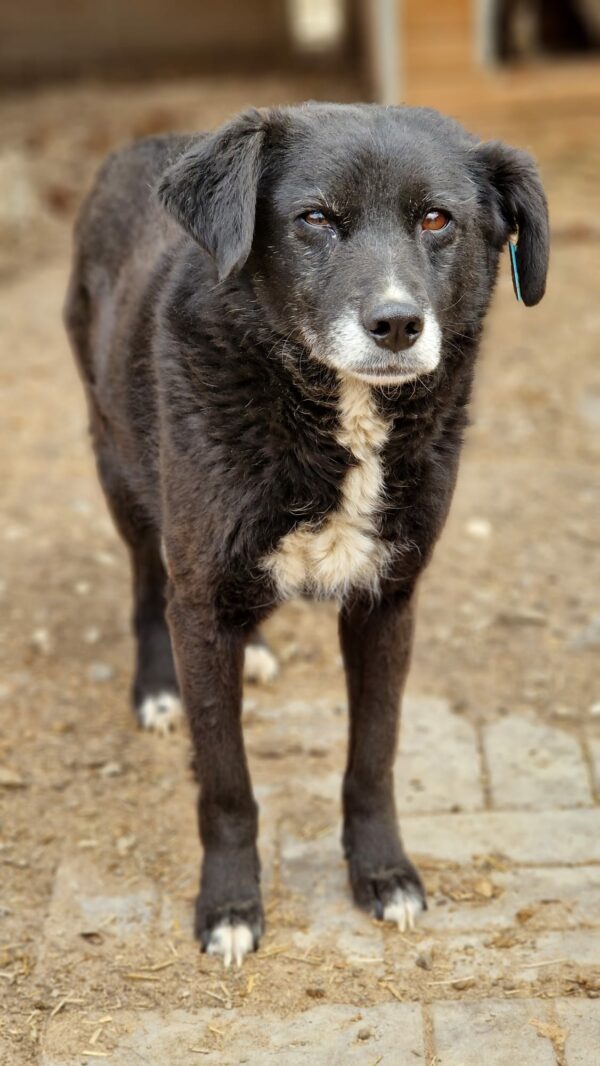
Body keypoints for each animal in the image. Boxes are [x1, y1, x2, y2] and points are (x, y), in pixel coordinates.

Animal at [64, 101, 549, 967]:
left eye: (437, 219)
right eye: (315, 219)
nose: (397, 323)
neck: (327, 411)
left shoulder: (389, 598)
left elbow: (374, 756)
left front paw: (384, 873)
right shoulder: (200, 595)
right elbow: (226, 783)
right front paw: (229, 905)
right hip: (120, 468)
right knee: (148, 584)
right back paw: (157, 685)